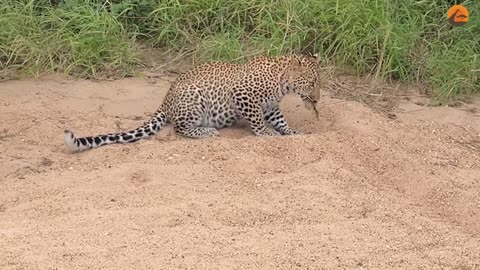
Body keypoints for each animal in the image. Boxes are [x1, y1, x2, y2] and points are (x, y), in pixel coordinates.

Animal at [62, 53, 318, 152]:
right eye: (312, 82)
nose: (316, 99)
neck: (282, 83)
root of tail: (166, 100)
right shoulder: (242, 95)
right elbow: (257, 121)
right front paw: (266, 134)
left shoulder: (271, 106)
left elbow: (281, 121)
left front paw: (292, 132)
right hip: (194, 99)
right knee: (179, 128)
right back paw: (206, 132)